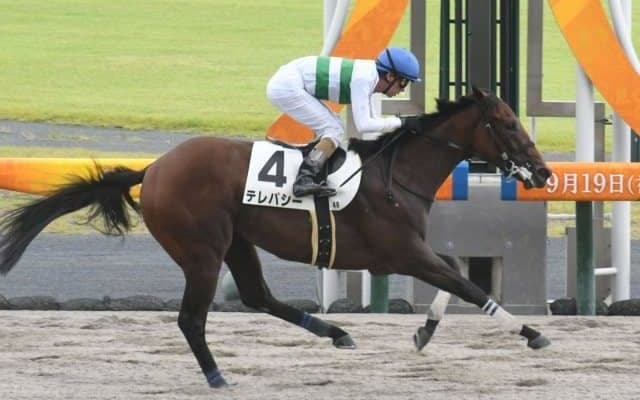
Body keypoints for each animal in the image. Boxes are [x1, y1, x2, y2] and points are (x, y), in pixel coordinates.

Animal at [0, 87, 551, 388]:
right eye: (506, 123)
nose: (544, 173)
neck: (394, 175)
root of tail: (152, 169)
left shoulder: (409, 252)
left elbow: (457, 276)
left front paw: (425, 331)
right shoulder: (402, 252)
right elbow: (469, 286)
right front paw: (532, 333)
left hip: (237, 241)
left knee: (256, 295)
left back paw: (336, 332)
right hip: (201, 251)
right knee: (192, 318)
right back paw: (218, 378)